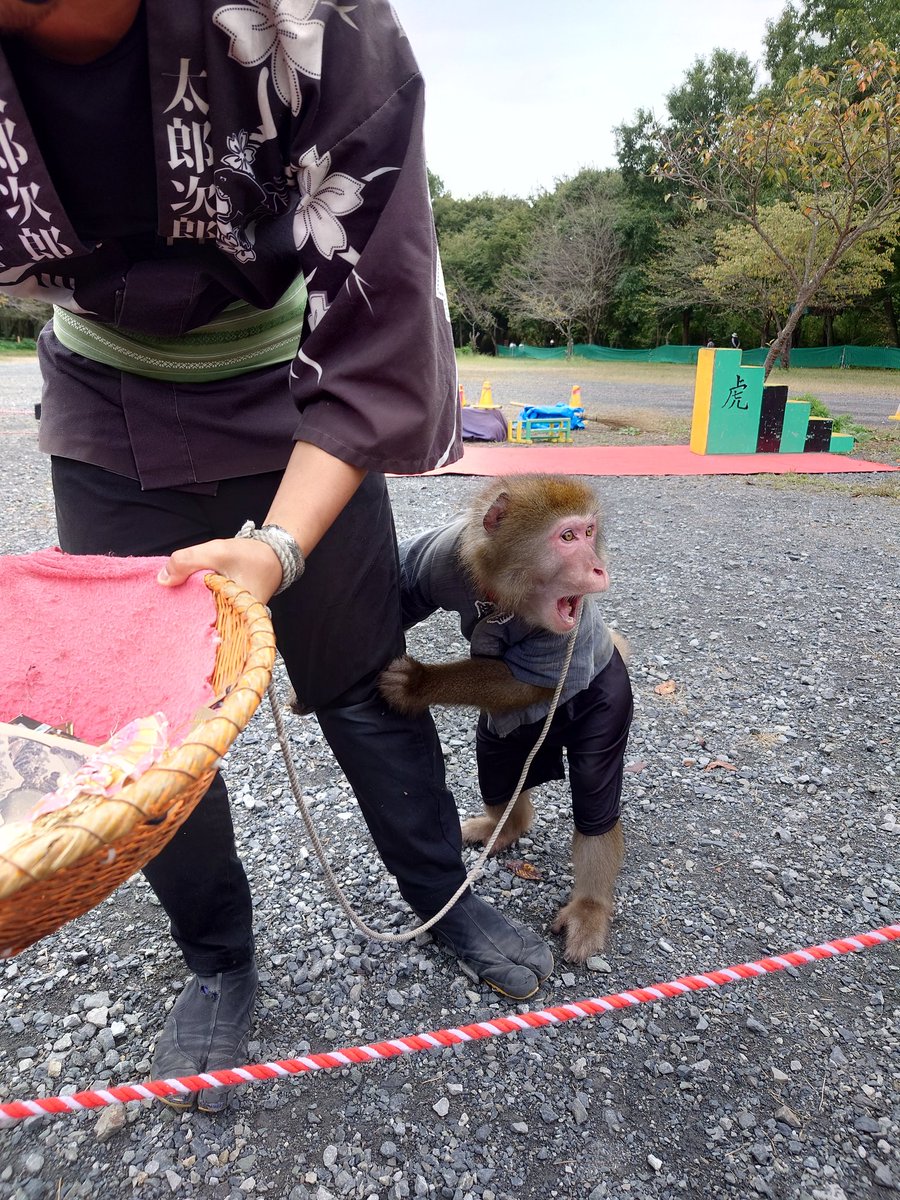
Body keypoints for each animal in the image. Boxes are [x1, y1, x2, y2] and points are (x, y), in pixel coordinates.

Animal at [379, 474, 633, 963]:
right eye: (568, 537)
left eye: (589, 532)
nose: (598, 568)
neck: (507, 592)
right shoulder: (442, 555)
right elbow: (405, 589)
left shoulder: (563, 637)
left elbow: (528, 683)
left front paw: (420, 684)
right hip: (506, 740)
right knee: (497, 772)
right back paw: (504, 827)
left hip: (608, 702)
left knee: (595, 805)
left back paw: (590, 907)